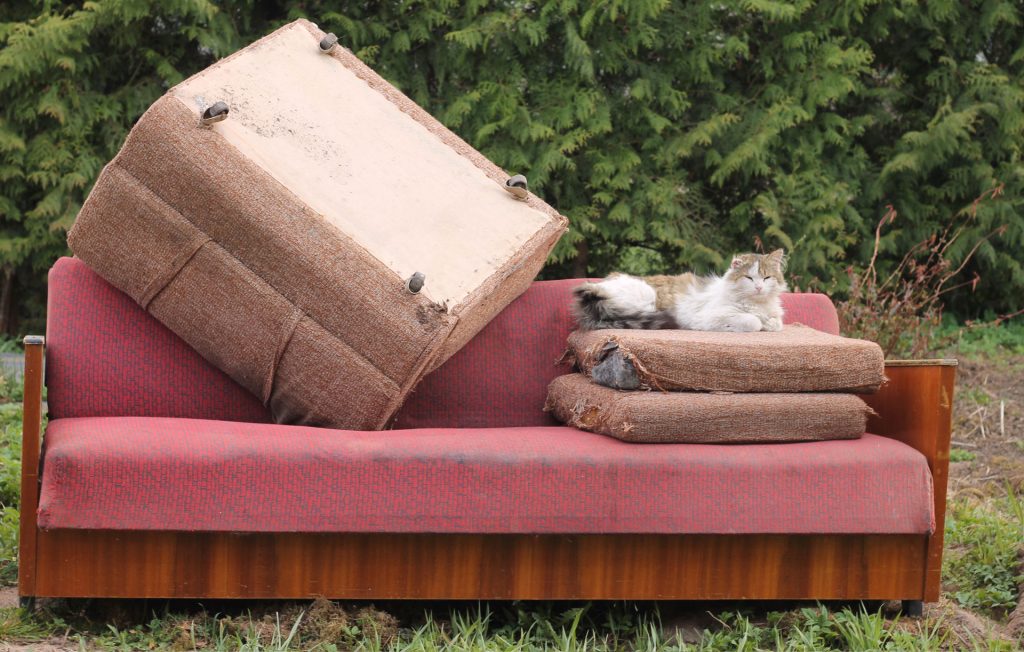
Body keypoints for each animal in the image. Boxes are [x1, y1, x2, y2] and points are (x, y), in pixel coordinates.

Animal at [573, 247, 786, 333]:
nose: (758, 287)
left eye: (766, 278)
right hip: (645, 298)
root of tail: (593, 286)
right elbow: (752, 321)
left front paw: (768, 323)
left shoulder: (775, 316)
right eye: (749, 278)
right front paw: (755, 323)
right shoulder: (707, 316)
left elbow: (776, 323)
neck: (756, 304)